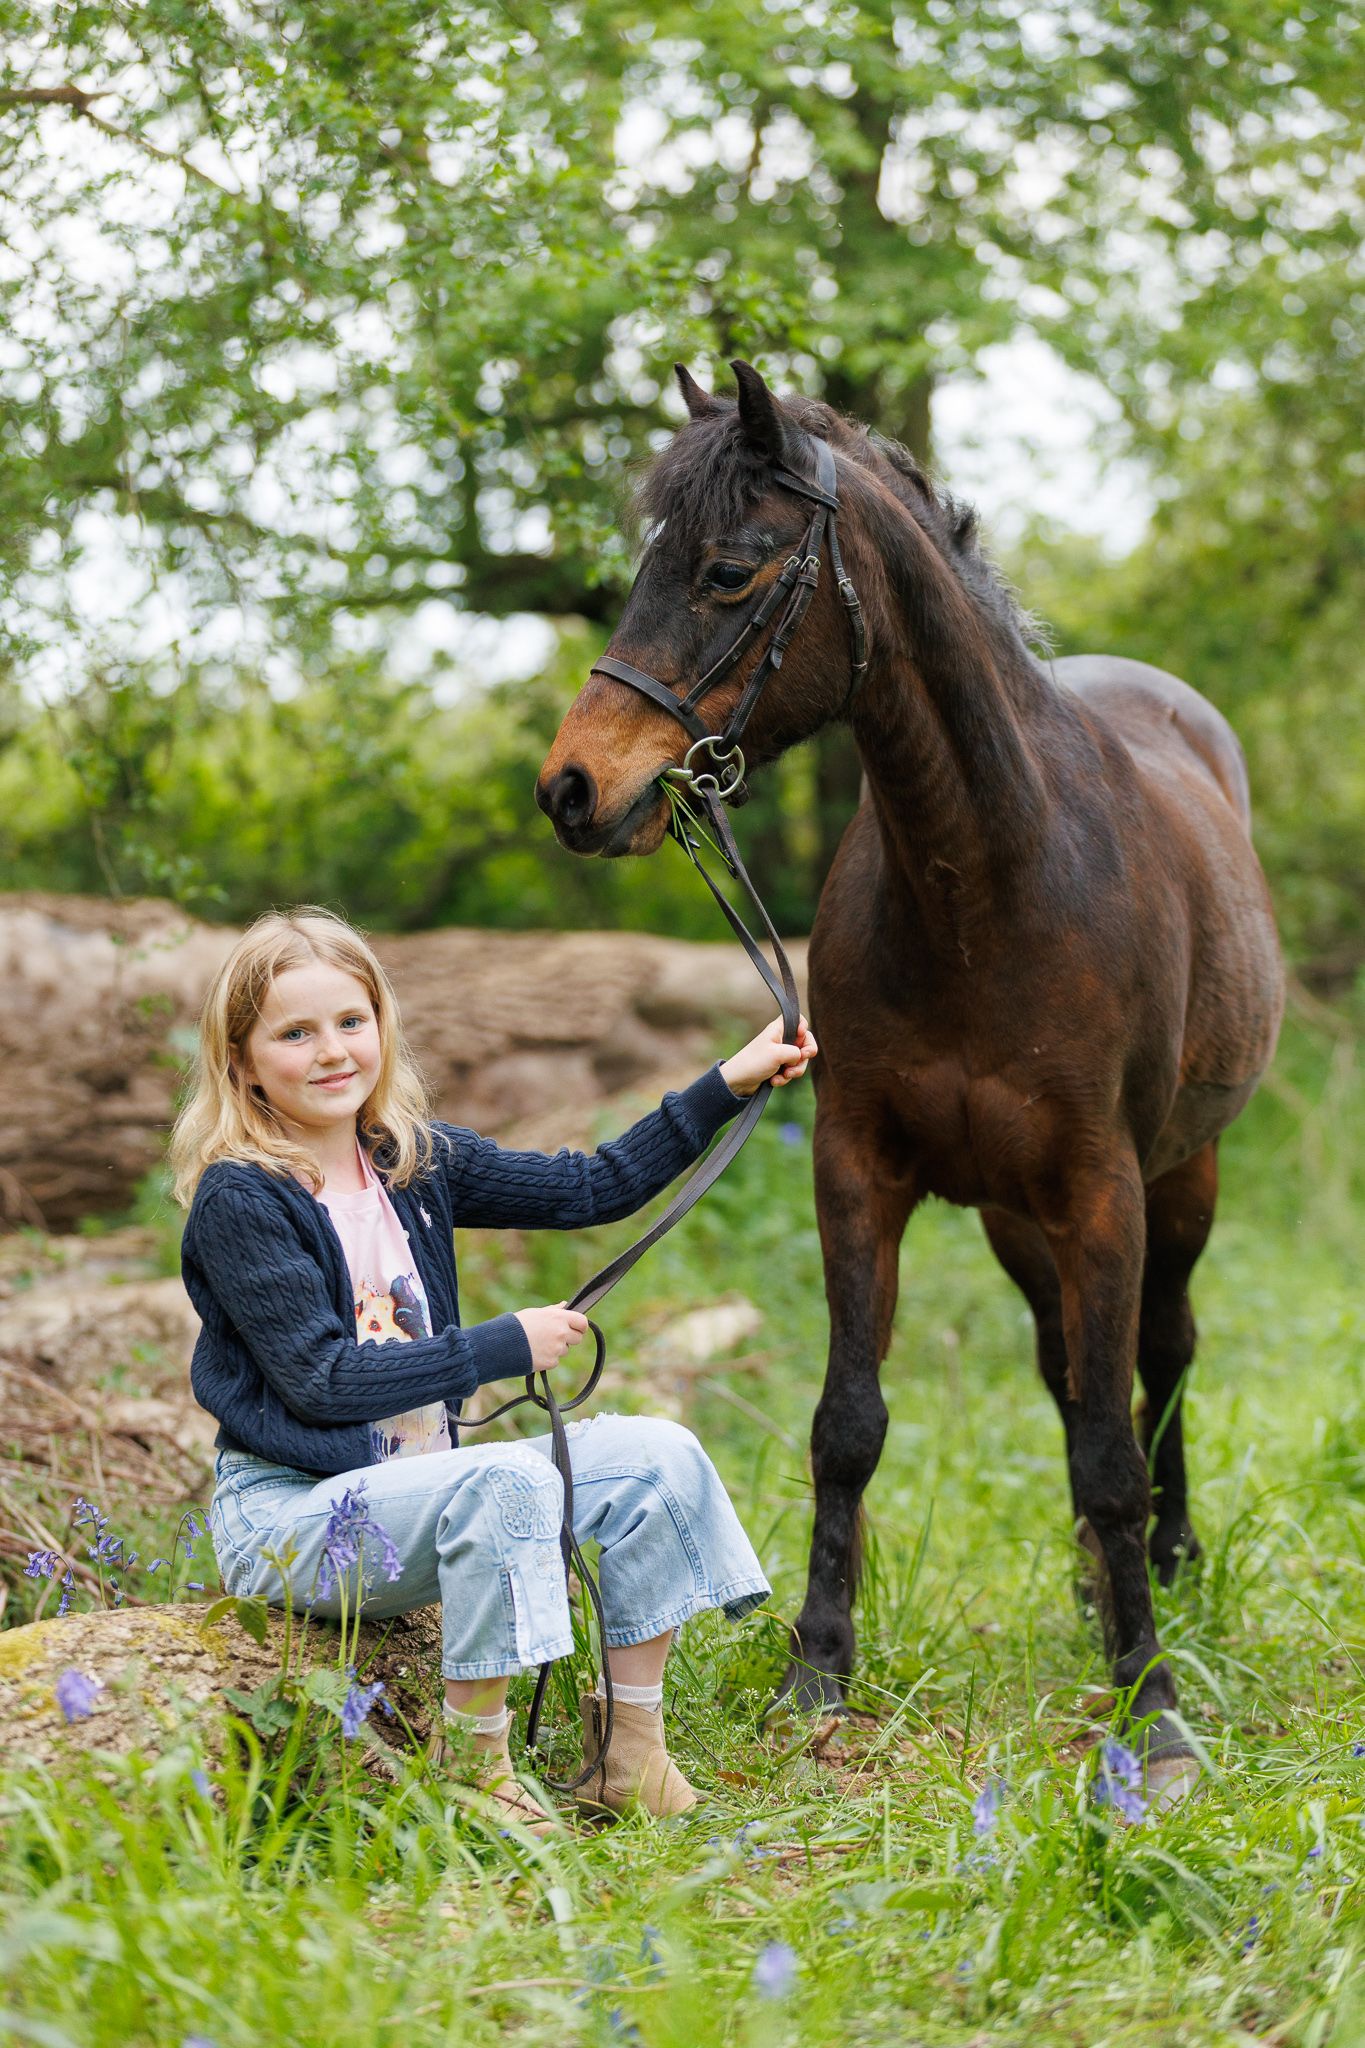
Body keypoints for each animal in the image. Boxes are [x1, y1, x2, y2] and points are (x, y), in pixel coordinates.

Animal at [535, 361, 1284, 1798]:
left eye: (728, 570)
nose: (572, 788)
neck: (987, 878)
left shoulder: (1104, 1190)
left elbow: (1113, 1451)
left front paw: (1152, 1704)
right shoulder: (861, 1173)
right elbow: (850, 1423)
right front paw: (816, 1670)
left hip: (1184, 1180)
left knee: (1159, 1356)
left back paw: (1165, 1568)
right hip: (1014, 1220)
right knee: (1070, 1369)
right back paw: (1094, 1587)